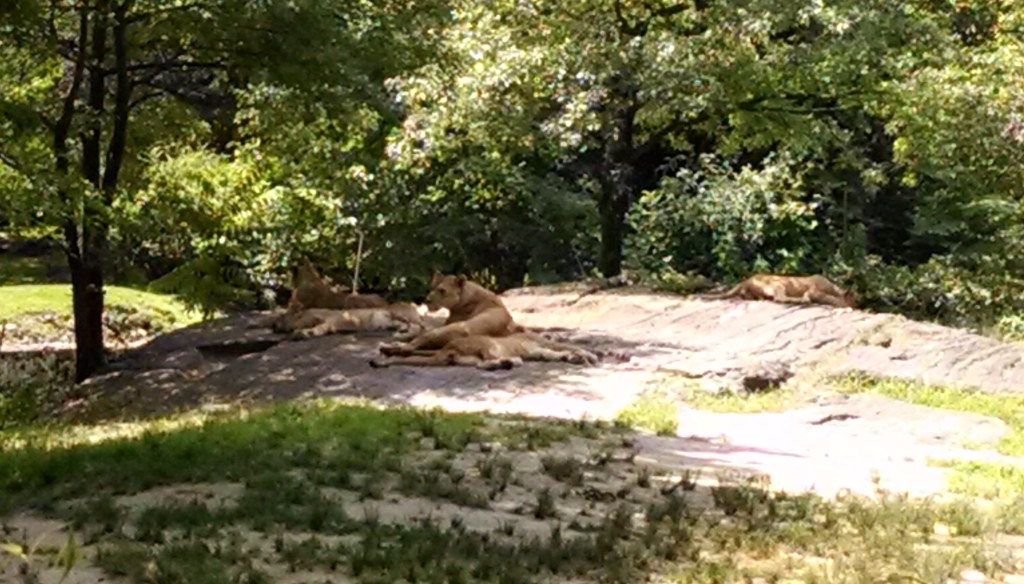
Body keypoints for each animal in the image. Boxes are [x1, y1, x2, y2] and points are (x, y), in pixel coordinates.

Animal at [271, 300, 426, 339]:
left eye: (282, 316)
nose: (273, 325)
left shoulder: (331, 321)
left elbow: (319, 328)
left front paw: (304, 333)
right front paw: (300, 332)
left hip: (397, 312)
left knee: (419, 327)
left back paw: (403, 333)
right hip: (392, 320)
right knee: (408, 325)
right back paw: (400, 330)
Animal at [377, 271, 519, 356]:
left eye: (442, 290)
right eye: (432, 288)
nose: (427, 300)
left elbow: (423, 333)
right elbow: (419, 332)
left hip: (460, 327)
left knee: (417, 343)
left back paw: (393, 347)